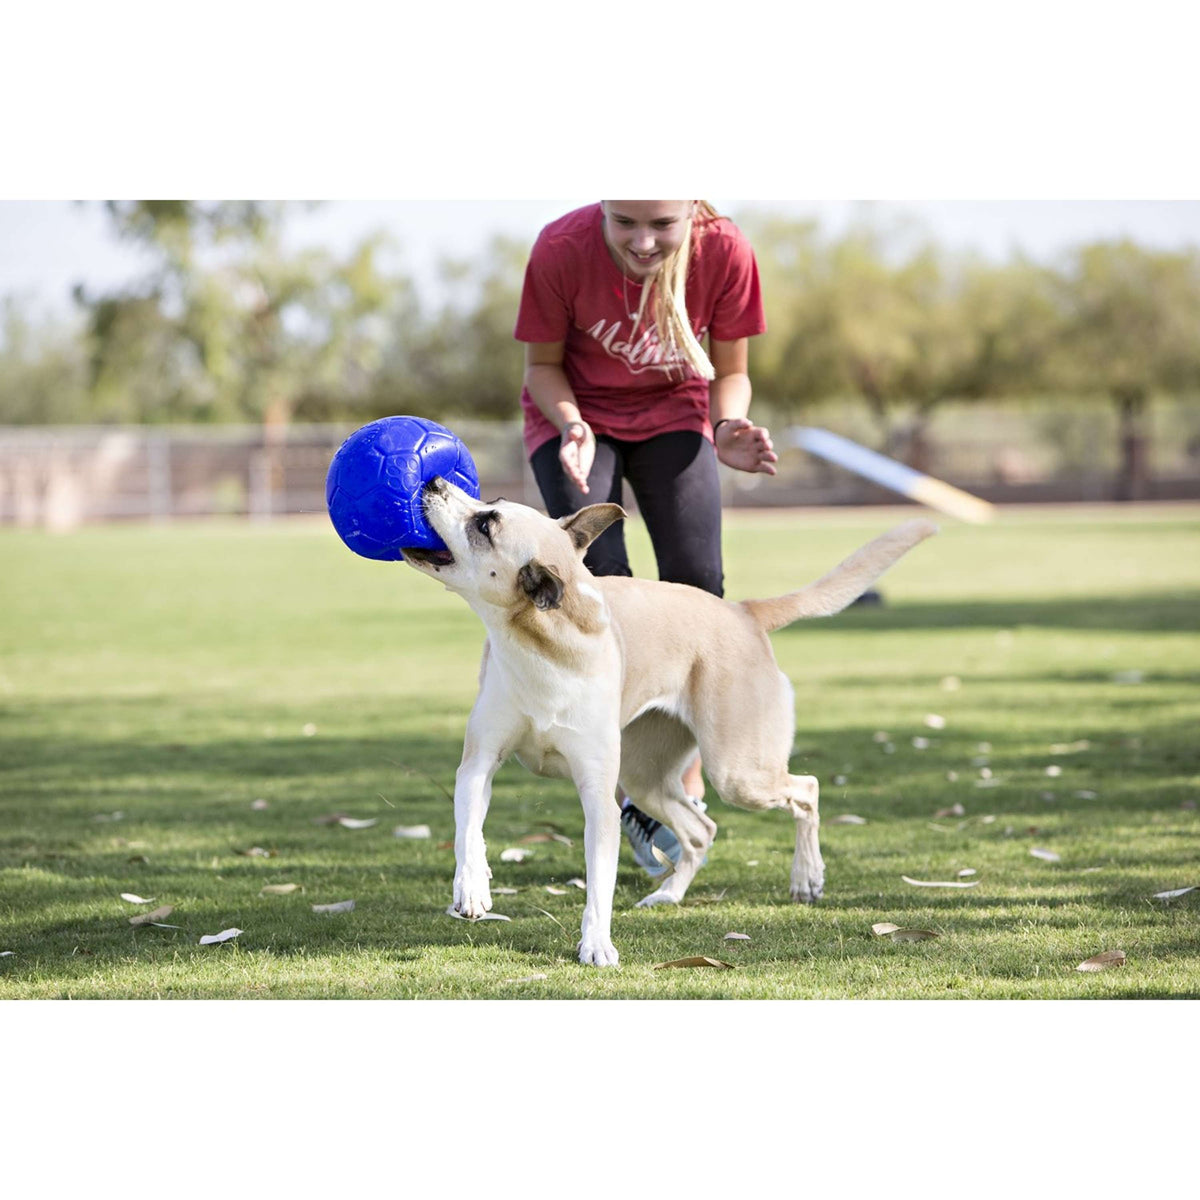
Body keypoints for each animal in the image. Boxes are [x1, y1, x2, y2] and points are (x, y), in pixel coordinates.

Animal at [403, 477, 936, 964]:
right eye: (489, 503)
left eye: (485, 523)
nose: (433, 481)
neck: (542, 644)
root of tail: (742, 613)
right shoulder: (478, 764)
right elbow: (469, 830)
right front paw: (473, 889)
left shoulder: (599, 798)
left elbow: (598, 885)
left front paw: (596, 946)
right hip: (646, 778)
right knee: (702, 831)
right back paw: (669, 894)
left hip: (736, 770)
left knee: (806, 789)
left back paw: (806, 877)